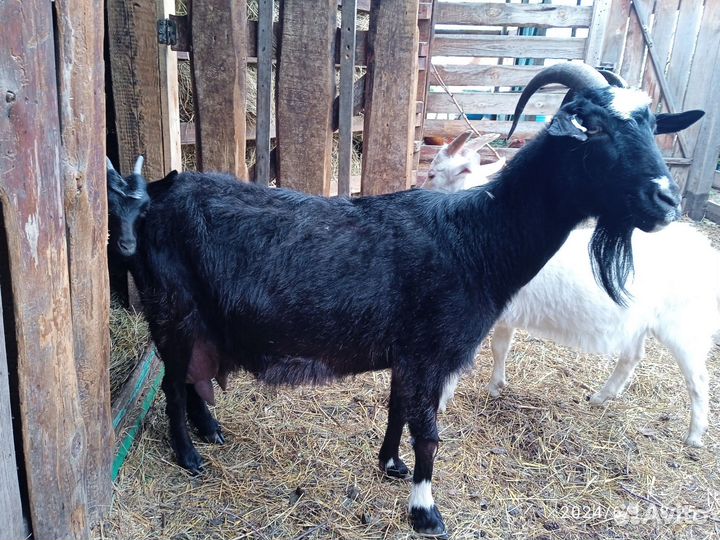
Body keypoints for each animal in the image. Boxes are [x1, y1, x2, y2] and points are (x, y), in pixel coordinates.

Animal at [107, 63, 703, 537]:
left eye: (651, 125)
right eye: (594, 128)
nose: (665, 199)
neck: (475, 239)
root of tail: (152, 197)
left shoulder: (408, 354)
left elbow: (399, 411)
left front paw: (389, 464)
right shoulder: (429, 352)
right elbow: (430, 433)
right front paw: (425, 511)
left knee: (189, 377)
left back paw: (210, 431)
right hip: (172, 311)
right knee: (171, 382)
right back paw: (189, 455)